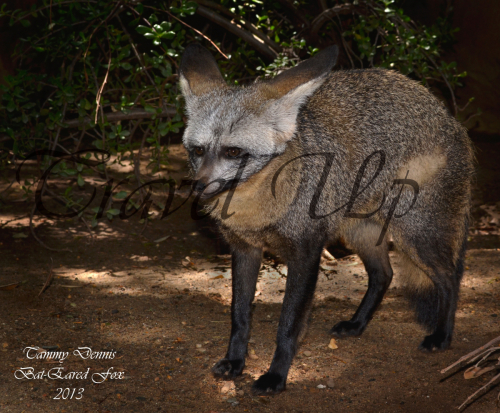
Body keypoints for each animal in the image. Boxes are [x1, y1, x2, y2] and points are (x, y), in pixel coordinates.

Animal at [179, 43, 472, 394]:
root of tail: (446, 115)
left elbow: (289, 324)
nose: (198, 187)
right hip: (360, 233)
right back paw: (357, 324)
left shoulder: (306, 252)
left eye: (233, 152)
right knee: (384, 275)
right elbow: (239, 316)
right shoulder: (244, 250)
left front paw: (276, 376)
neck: (258, 212)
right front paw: (236, 361)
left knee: (450, 277)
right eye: (197, 150)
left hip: (414, 237)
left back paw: (442, 336)